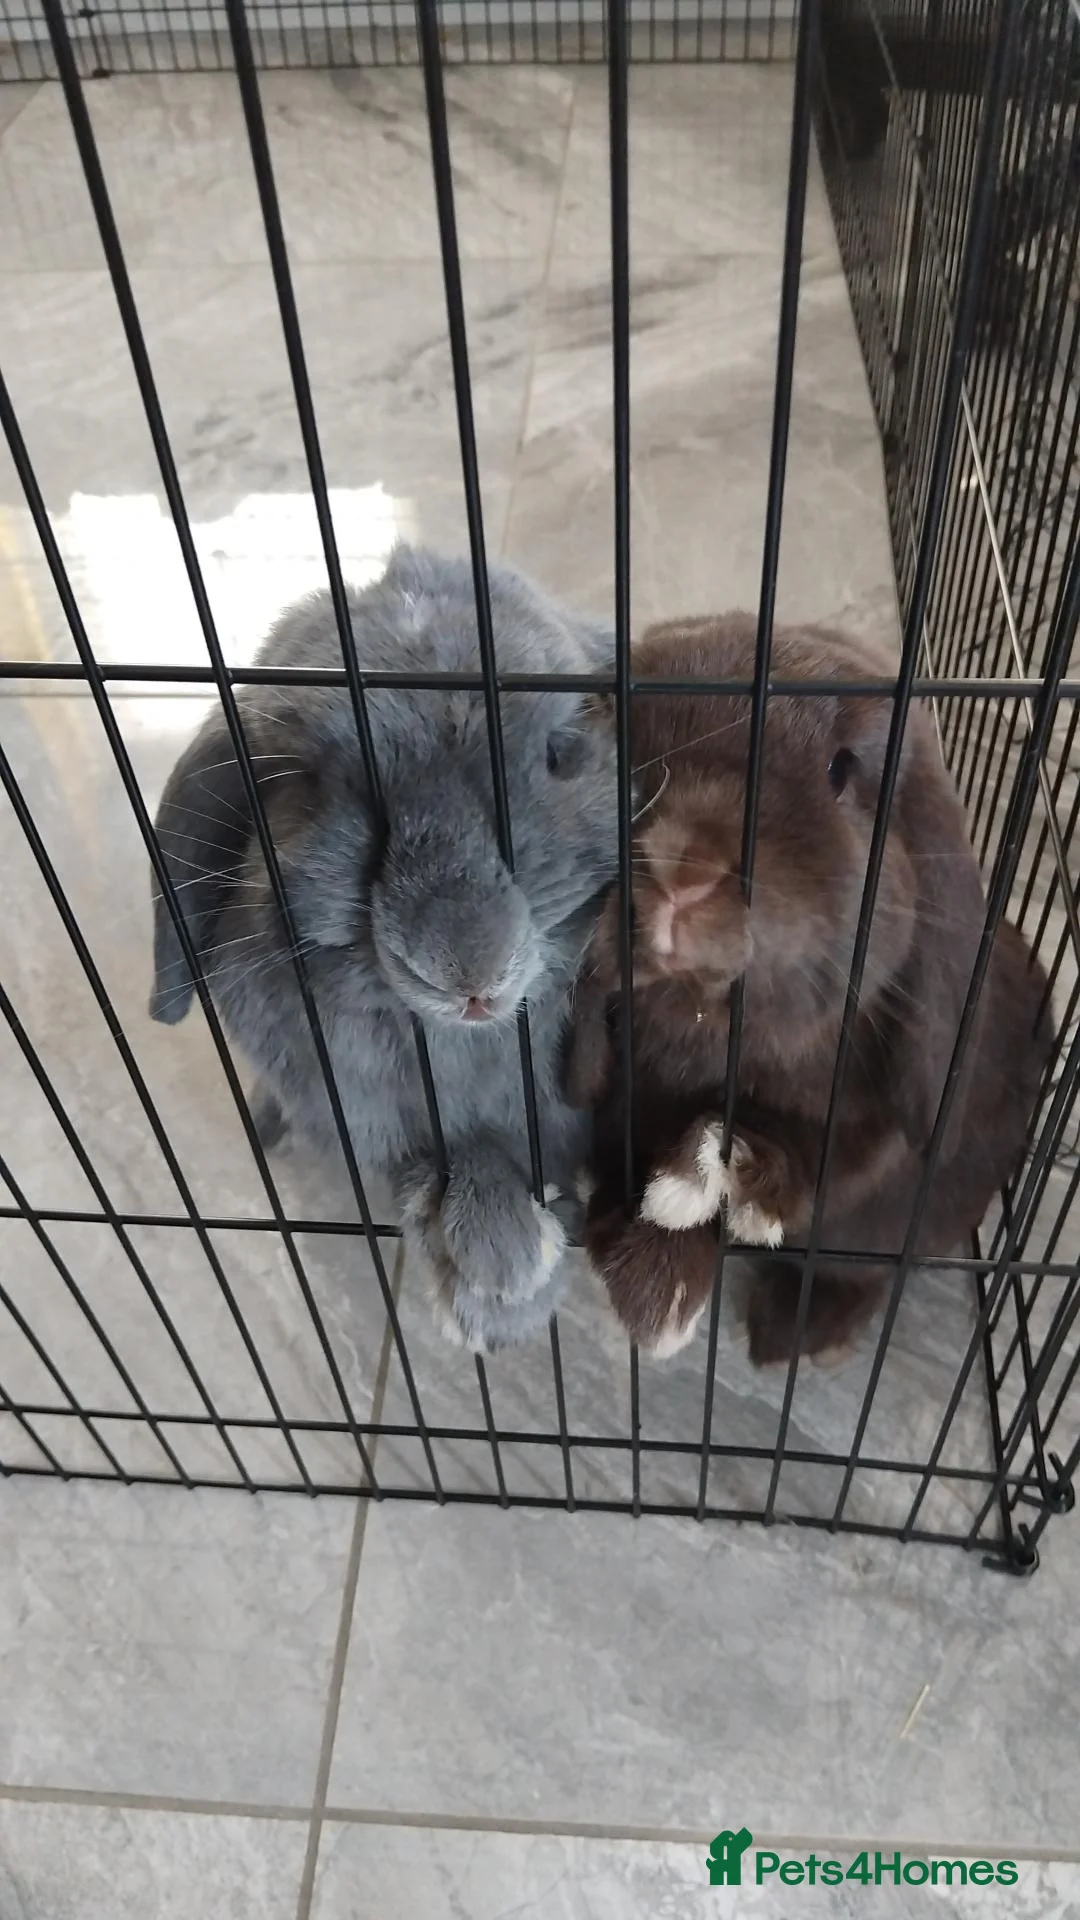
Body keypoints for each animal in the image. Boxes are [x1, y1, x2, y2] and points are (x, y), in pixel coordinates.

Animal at [149, 544, 618, 1352]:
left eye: (562, 753)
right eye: (304, 784)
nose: (470, 970)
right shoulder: (369, 1122)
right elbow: (437, 1169)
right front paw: (499, 1272)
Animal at [566, 612, 1053, 1365]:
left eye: (839, 770)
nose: (681, 870)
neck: (711, 1032)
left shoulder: (866, 1137)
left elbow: (809, 1163)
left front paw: (700, 1184)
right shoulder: (622, 1100)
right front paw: (651, 1279)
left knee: (861, 1272)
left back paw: (791, 1333)